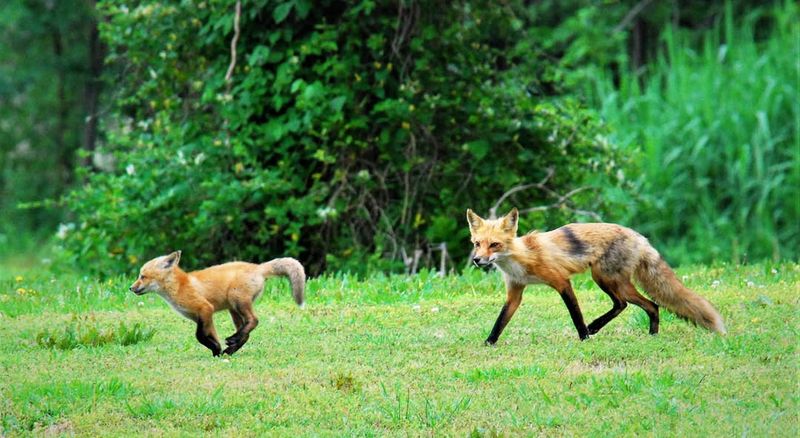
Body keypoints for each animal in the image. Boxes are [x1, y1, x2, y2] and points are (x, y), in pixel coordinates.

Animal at [129, 251, 305, 356]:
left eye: (142, 276)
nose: (131, 288)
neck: (180, 286)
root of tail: (258, 267)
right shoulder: (203, 317)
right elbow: (210, 335)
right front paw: (217, 350)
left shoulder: (205, 308)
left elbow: (199, 336)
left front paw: (215, 349)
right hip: (233, 310)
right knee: (246, 332)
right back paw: (232, 346)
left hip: (237, 300)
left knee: (254, 321)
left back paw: (233, 340)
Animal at [466, 208, 726, 345]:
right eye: (477, 244)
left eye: (495, 244)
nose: (477, 260)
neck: (521, 256)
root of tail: (640, 237)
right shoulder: (515, 292)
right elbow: (500, 321)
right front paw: (488, 344)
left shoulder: (562, 281)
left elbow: (576, 315)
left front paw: (583, 338)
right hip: (613, 282)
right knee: (647, 305)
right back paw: (651, 335)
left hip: (604, 278)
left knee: (631, 304)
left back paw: (596, 328)